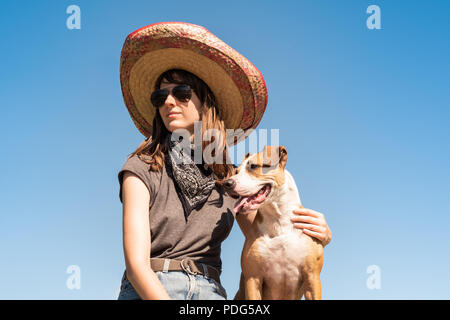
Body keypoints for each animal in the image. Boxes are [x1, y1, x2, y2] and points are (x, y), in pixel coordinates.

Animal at [222, 145, 324, 300]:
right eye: (237, 171)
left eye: (253, 166)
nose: (226, 183)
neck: (279, 220)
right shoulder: (253, 278)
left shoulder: (312, 277)